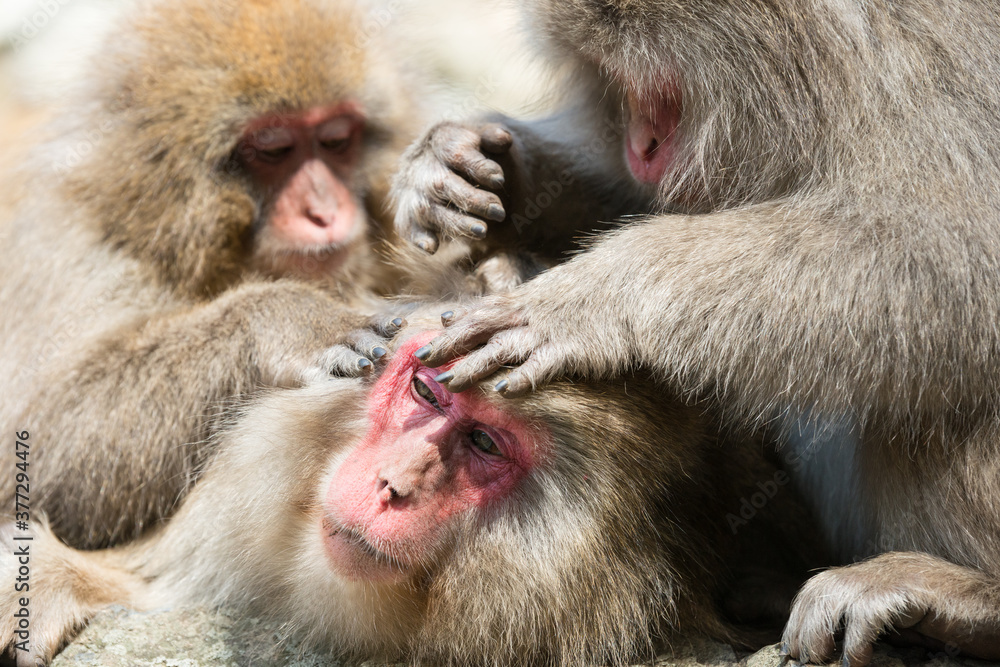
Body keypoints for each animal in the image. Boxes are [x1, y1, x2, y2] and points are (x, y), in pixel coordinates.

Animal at [0, 0, 429, 550]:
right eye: (273, 150)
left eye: (336, 140)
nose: (325, 212)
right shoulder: (68, 246)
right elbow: (44, 446)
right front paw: (285, 318)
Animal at [388, 0, 1000, 663]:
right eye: (614, 80)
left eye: (660, 89)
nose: (640, 143)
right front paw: (474, 161)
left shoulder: (905, 60)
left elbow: (948, 253)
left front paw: (597, 298)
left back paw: (965, 598)